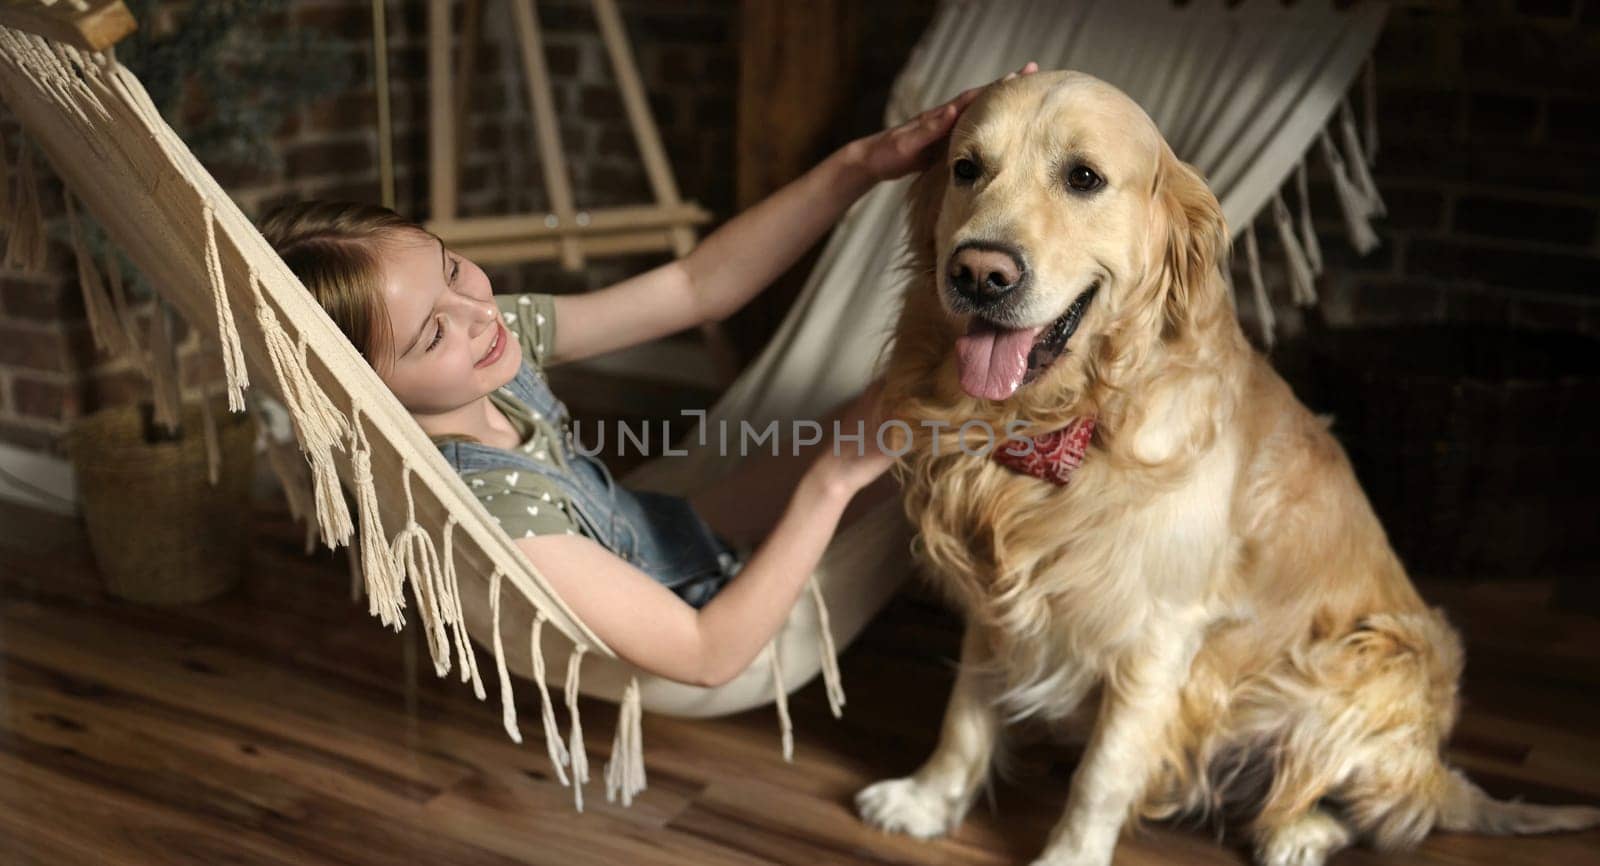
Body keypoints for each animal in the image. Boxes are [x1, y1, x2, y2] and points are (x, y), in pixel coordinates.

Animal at [857, 69, 1593, 864]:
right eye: (966, 168)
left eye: (1083, 178)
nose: (978, 272)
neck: (1065, 421)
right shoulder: (997, 587)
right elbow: (966, 712)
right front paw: (927, 799)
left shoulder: (1158, 635)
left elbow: (1102, 775)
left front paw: (1069, 855)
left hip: (1365, 663)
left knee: (1350, 805)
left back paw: (1298, 834)